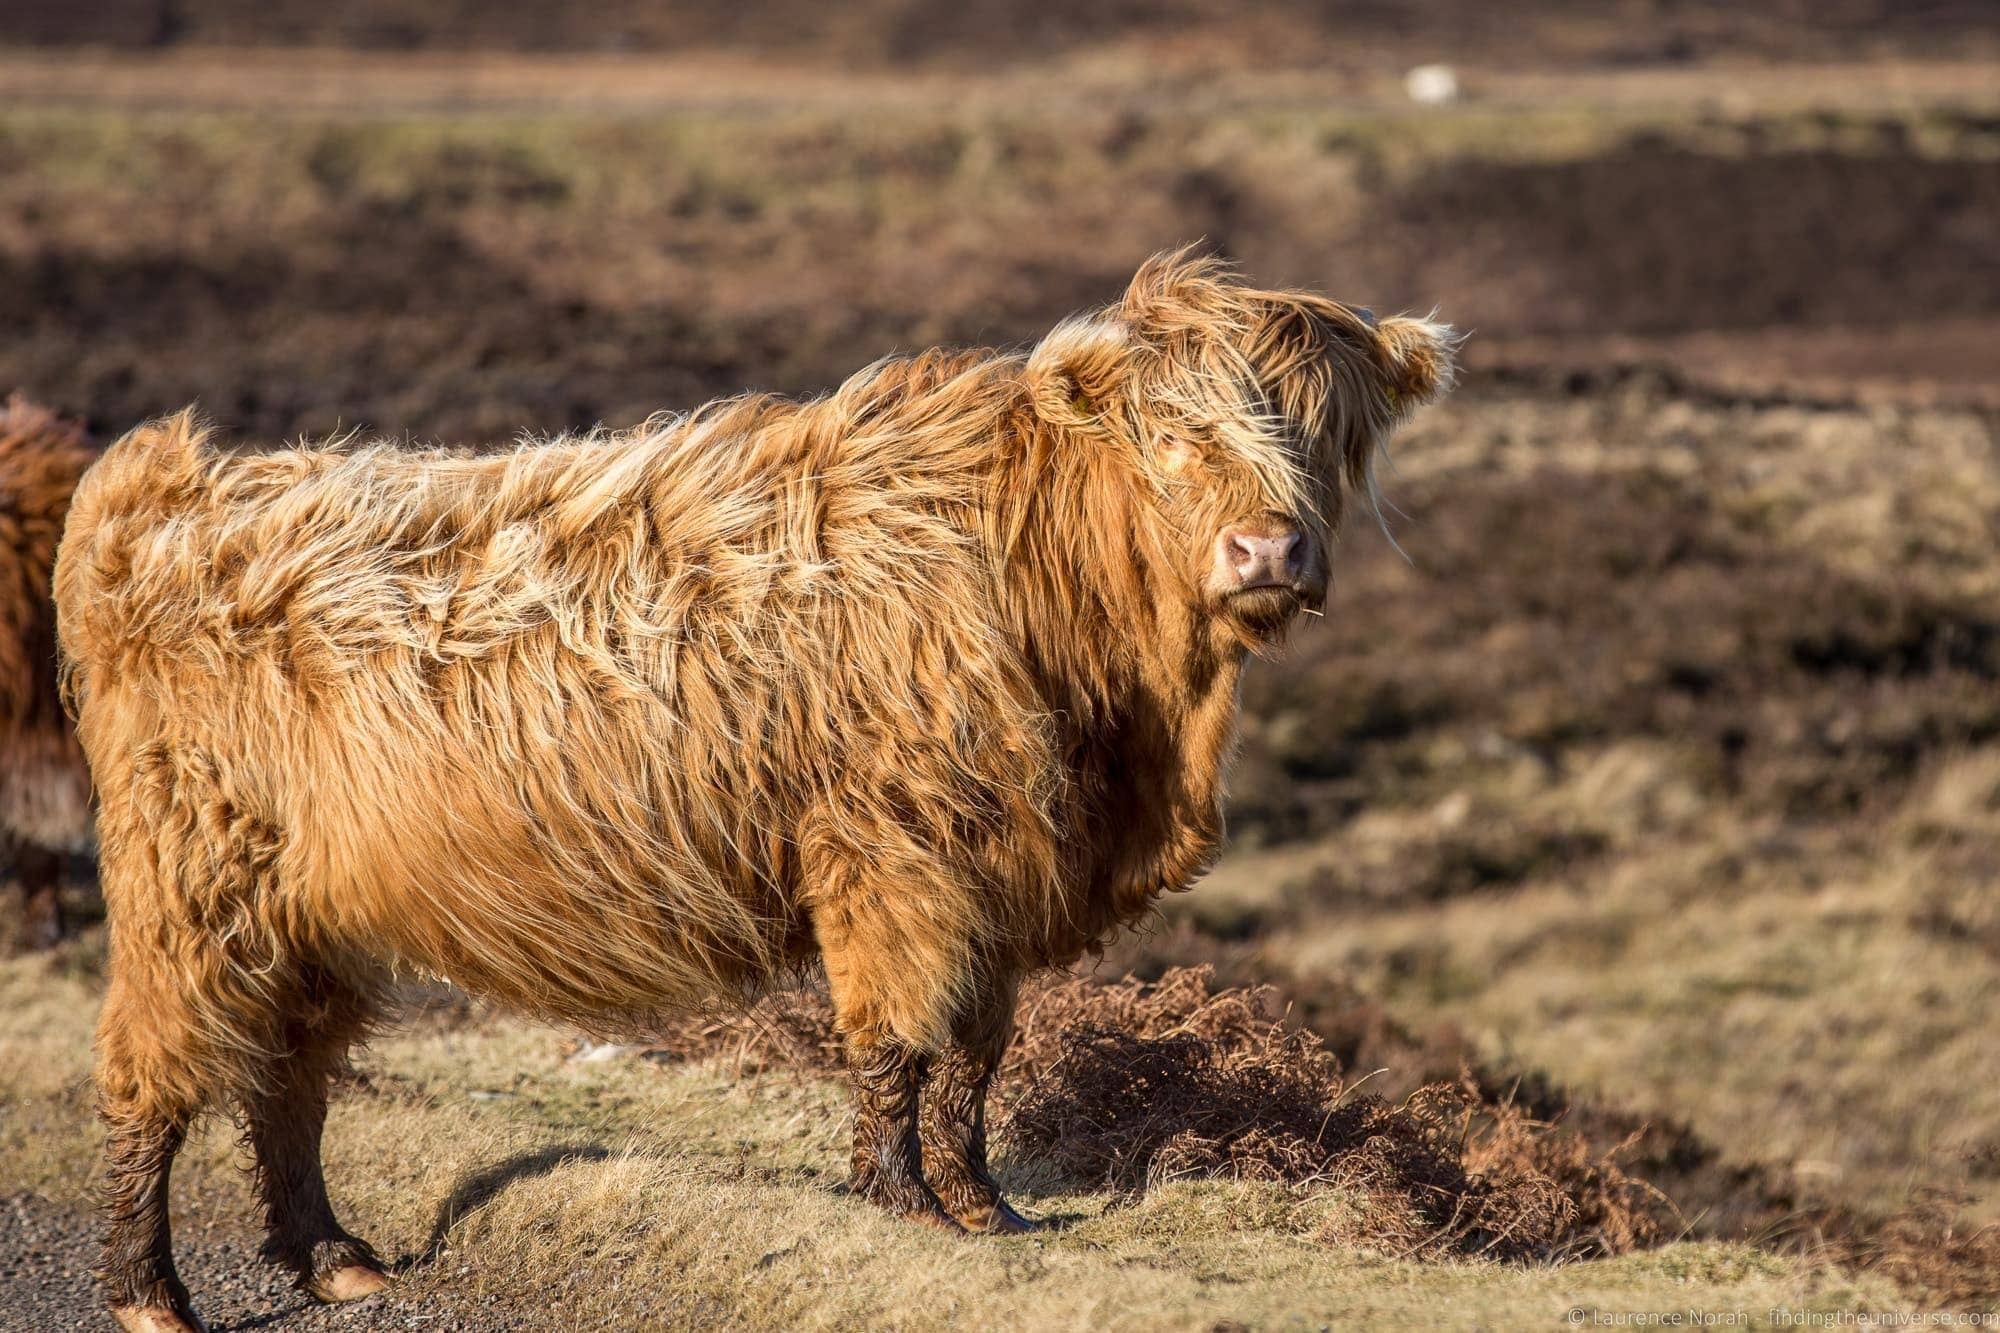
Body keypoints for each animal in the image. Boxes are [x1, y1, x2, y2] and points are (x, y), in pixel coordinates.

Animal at [50, 252, 1456, 1328]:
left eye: (1328, 438)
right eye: (1169, 435)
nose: (1267, 549)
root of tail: (165, 485)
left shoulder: (1002, 867)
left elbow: (977, 1051)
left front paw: (982, 1204)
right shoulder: (896, 853)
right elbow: (896, 1036)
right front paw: (902, 1200)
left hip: (308, 905)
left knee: (287, 1074)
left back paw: (331, 1256)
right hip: (187, 878)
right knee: (153, 1070)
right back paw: (150, 1288)